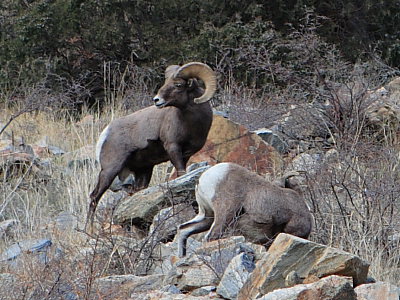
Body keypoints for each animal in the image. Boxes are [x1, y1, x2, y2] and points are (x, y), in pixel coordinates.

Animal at [88, 62, 217, 227]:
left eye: (178, 85)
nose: (157, 100)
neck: (192, 122)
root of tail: (106, 133)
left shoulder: (185, 154)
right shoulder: (173, 148)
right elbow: (181, 173)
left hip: (143, 171)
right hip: (109, 171)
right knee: (94, 197)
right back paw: (89, 228)